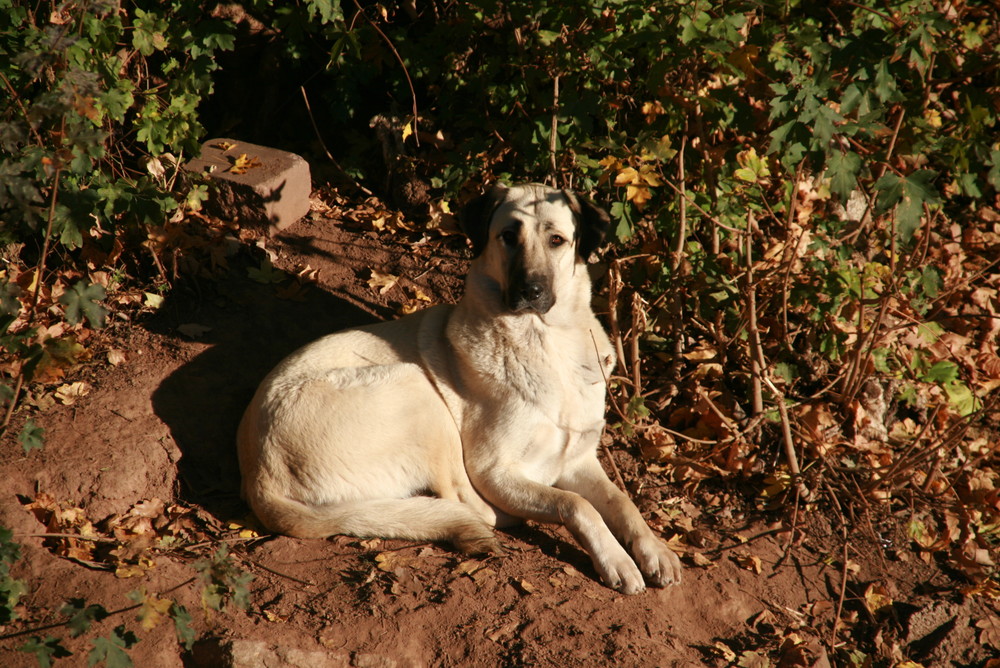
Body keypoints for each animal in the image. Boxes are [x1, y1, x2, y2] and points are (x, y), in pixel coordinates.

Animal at [238, 184, 684, 596]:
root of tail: (260, 478)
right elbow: (575, 503)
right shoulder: (494, 470)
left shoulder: (577, 459)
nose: (530, 292)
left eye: (557, 240)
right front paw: (615, 560)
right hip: (416, 388)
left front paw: (655, 551)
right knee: (463, 501)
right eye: (508, 236)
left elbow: (622, 502)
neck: (545, 341)